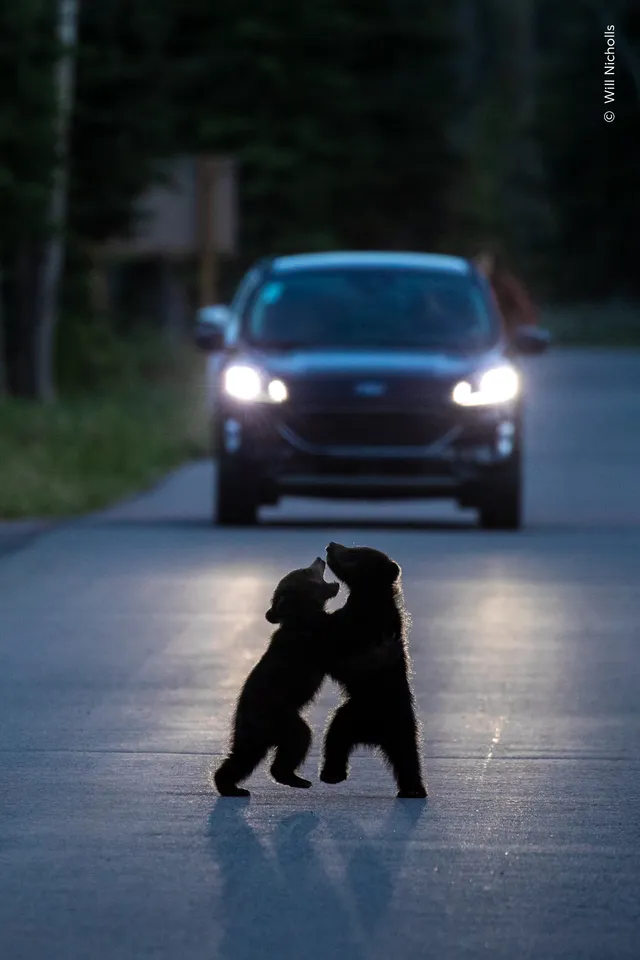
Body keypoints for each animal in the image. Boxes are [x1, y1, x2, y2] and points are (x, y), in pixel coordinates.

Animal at [214, 557, 340, 797]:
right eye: (306, 571)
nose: (319, 559)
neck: (300, 614)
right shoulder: (311, 639)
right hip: (278, 718)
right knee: (298, 738)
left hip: (261, 729)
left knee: (246, 756)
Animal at [320, 542, 427, 799]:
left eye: (355, 553)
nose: (331, 545)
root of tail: (375, 735)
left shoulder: (363, 624)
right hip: (364, 716)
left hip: (388, 719)